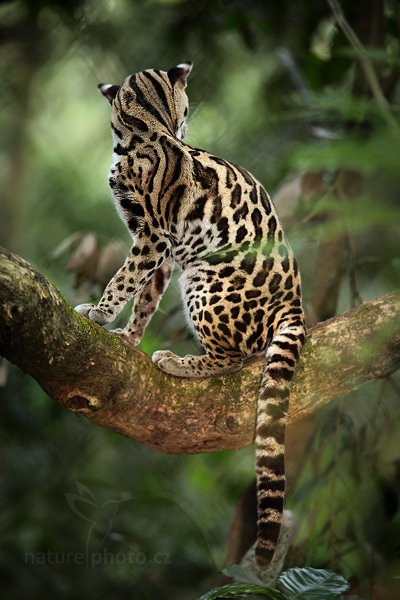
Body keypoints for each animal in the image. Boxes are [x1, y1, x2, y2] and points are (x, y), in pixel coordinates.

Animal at [76, 62, 306, 572]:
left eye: (184, 112)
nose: (186, 129)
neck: (147, 132)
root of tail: (296, 304)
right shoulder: (160, 247)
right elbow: (145, 295)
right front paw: (127, 335)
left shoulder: (152, 235)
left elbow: (124, 278)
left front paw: (99, 313)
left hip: (203, 278)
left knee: (234, 357)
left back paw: (179, 362)